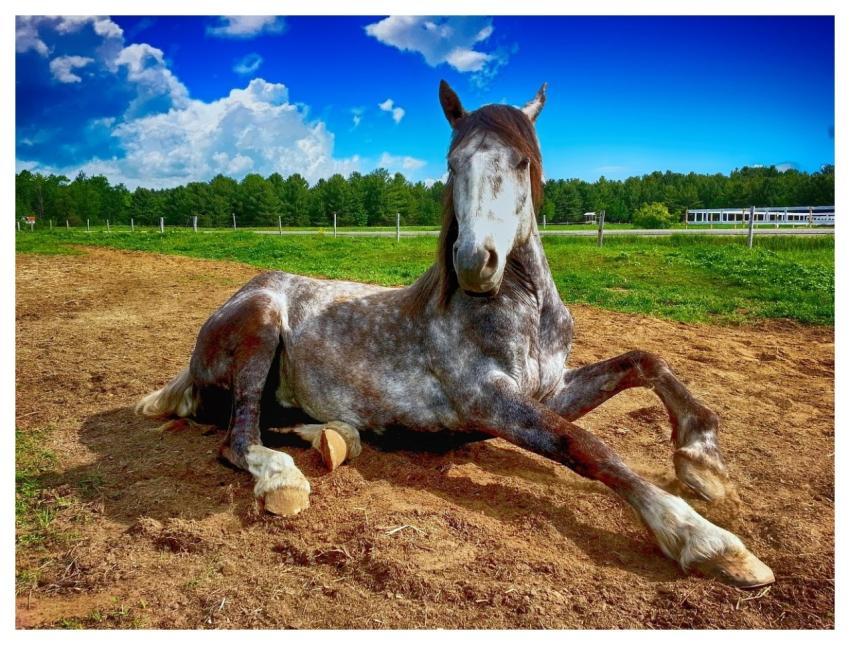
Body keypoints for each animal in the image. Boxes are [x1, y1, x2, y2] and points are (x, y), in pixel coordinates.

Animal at [136, 81, 774, 589]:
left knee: (276, 420)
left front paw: (703, 464)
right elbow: (586, 445)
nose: (475, 263)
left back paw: (337, 437)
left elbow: (646, 361)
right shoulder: (489, 401)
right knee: (238, 436)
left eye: (522, 162)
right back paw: (282, 479)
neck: (522, 311)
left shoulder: (549, 389)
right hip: (263, 324)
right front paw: (708, 541)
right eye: (452, 164)